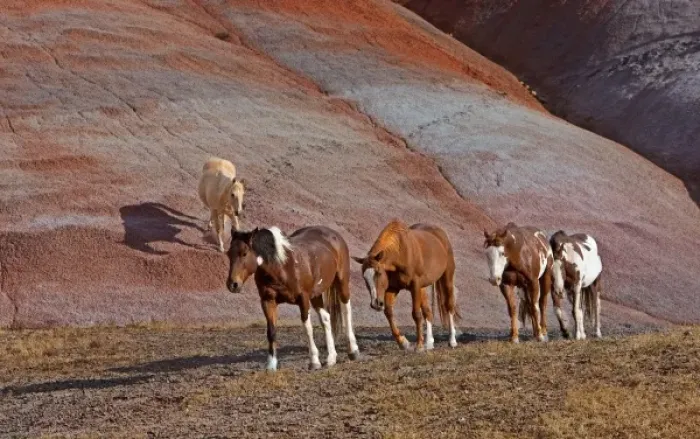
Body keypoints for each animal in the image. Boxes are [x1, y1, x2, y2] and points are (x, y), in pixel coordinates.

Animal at [226, 225, 359, 371]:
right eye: (228, 254)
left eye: (244, 253)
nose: (232, 284)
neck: (281, 266)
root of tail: (333, 234)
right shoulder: (268, 301)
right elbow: (271, 331)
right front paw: (271, 365)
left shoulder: (303, 299)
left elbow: (308, 328)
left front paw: (314, 361)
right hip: (316, 294)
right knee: (326, 318)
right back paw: (331, 358)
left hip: (342, 282)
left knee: (346, 310)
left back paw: (353, 350)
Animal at [352, 219, 460, 351]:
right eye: (364, 277)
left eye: (379, 273)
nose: (376, 304)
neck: (400, 253)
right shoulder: (393, 288)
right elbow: (389, 312)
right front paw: (403, 343)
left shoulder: (414, 286)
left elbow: (416, 314)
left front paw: (419, 346)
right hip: (422, 288)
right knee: (428, 311)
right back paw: (429, 343)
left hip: (446, 278)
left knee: (449, 306)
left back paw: (452, 340)